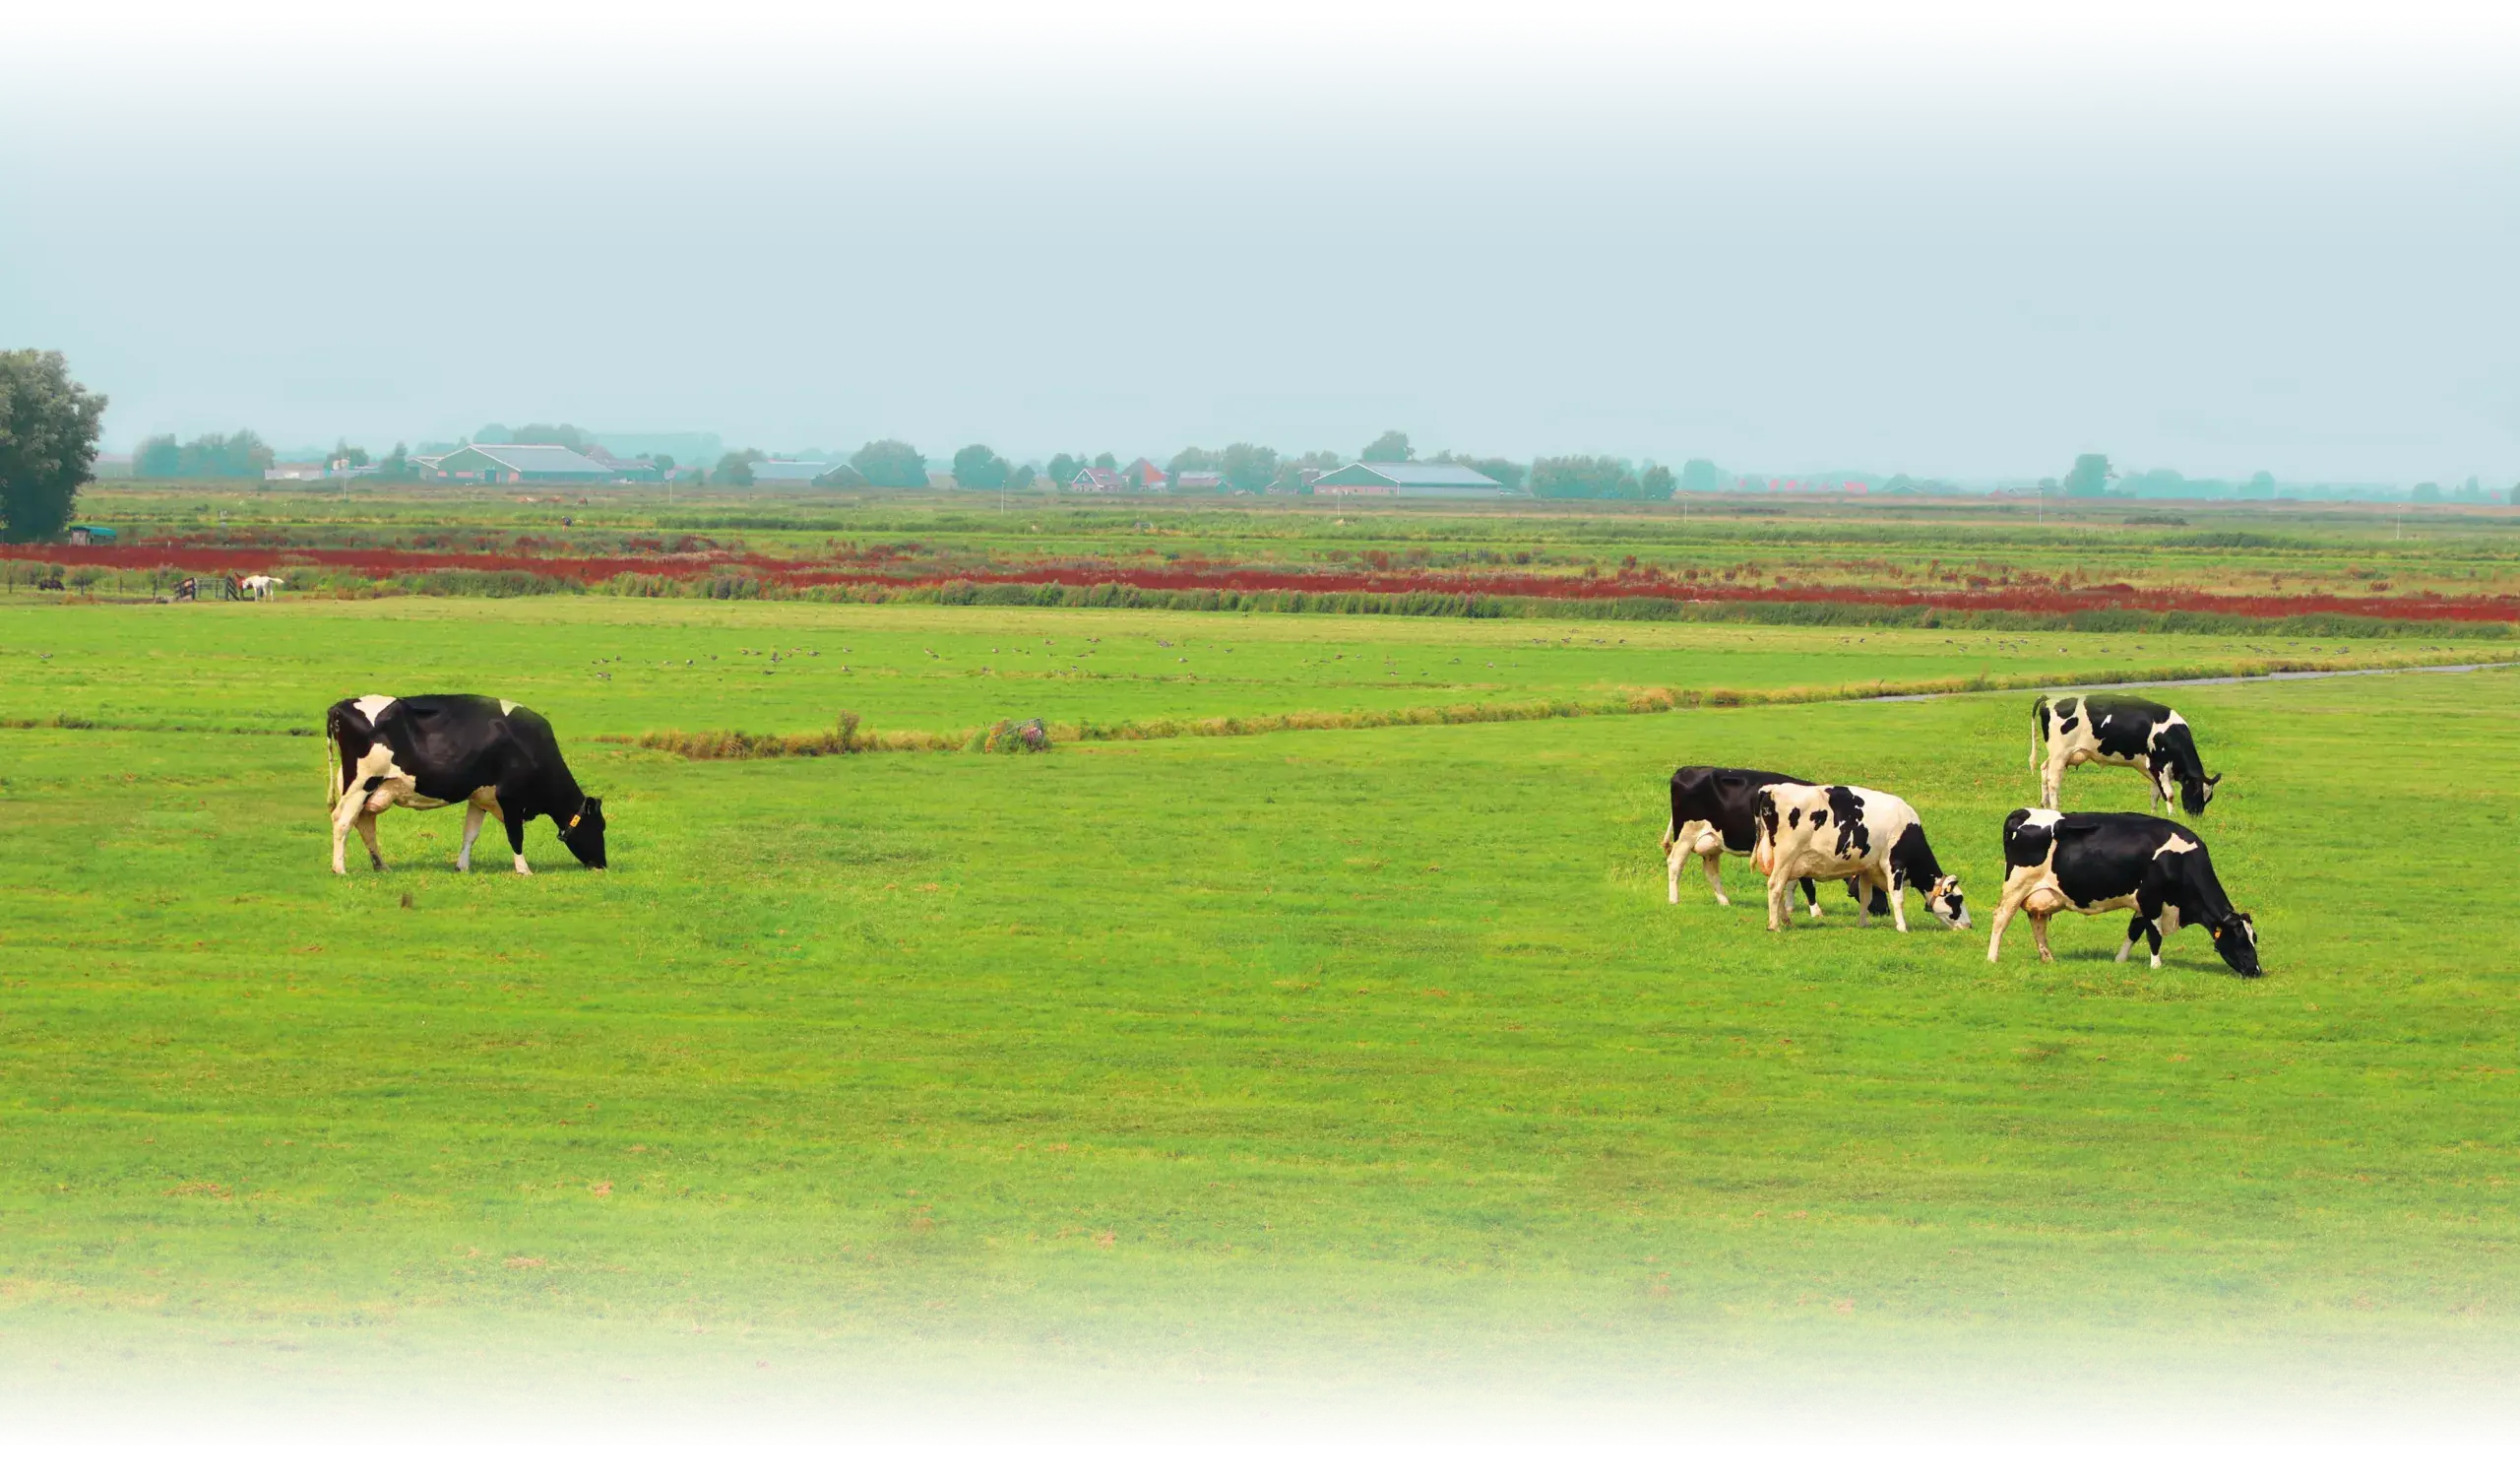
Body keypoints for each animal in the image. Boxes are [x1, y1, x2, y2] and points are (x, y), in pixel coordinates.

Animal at [325, 694, 607, 876]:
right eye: (600, 826)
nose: (602, 865)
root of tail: (340, 706)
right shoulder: (510, 798)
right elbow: (515, 836)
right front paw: (523, 869)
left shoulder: (480, 796)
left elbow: (470, 833)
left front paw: (462, 866)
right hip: (361, 783)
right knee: (342, 821)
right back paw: (340, 869)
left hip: (368, 788)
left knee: (365, 824)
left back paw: (381, 866)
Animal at [1752, 783, 1968, 933]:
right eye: (1957, 900)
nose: (1969, 925)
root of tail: (1771, 789)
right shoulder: (1895, 865)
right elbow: (1898, 898)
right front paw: (1902, 927)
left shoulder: (1867, 869)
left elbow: (1866, 897)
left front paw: (1863, 923)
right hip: (1786, 856)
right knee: (1775, 887)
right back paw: (1775, 926)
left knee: (1778, 888)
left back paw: (1786, 921)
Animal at [1985, 809, 2260, 975]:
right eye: (2239, 938)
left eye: (2254, 938)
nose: (2256, 971)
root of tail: (2023, 812)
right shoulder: (2151, 900)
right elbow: (2154, 936)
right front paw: (2156, 966)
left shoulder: (2141, 903)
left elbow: (2134, 931)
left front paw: (2120, 960)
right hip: (2016, 886)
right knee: (2001, 918)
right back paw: (1992, 957)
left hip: (2041, 894)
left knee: (2038, 923)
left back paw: (2048, 958)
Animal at [2032, 694, 2220, 816]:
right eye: (2196, 791)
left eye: (2209, 798)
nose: (2196, 816)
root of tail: (2050, 699)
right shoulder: (2158, 766)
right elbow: (2169, 794)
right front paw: (2171, 815)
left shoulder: (2153, 769)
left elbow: (2155, 793)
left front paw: (2154, 814)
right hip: (2060, 753)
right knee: (2053, 781)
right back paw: (2055, 809)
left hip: (2057, 755)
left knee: (2044, 771)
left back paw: (2045, 805)